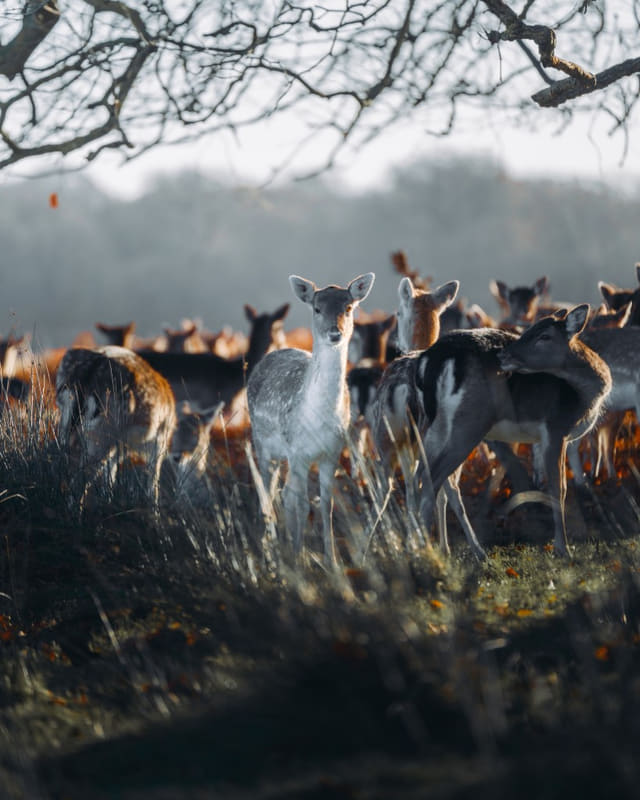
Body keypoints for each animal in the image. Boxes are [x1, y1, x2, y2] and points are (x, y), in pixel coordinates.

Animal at [56, 346, 177, 512]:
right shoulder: (159, 440)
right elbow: (153, 483)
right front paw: (155, 515)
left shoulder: (116, 447)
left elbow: (110, 478)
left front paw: (107, 503)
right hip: (102, 434)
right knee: (79, 481)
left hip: (67, 423)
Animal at [247, 273, 375, 567]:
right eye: (317, 309)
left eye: (348, 308)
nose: (335, 333)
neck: (318, 418)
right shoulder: (298, 452)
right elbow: (304, 503)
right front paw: (300, 559)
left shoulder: (332, 452)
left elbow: (326, 504)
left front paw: (332, 562)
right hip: (262, 442)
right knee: (267, 489)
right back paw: (267, 545)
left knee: (284, 493)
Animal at [415, 306, 612, 556]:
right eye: (530, 331)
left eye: (543, 335)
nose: (503, 356)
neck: (582, 396)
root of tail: (433, 358)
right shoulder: (555, 428)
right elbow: (558, 488)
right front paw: (562, 548)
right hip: (469, 423)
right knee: (433, 478)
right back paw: (427, 552)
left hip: (434, 425)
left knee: (431, 479)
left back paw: (455, 549)